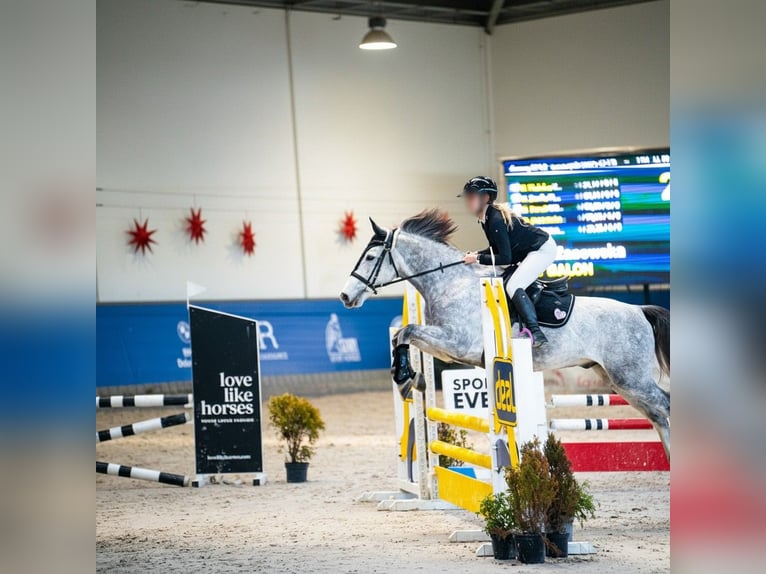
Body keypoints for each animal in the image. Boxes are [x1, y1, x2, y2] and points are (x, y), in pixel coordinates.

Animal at [340, 209, 670, 458]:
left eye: (370, 258)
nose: (345, 296)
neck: (452, 284)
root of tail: (640, 310)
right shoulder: (446, 347)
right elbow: (401, 336)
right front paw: (410, 378)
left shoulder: (458, 343)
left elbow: (407, 331)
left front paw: (406, 379)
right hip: (617, 379)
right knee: (657, 414)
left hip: (631, 378)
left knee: (664, 405)